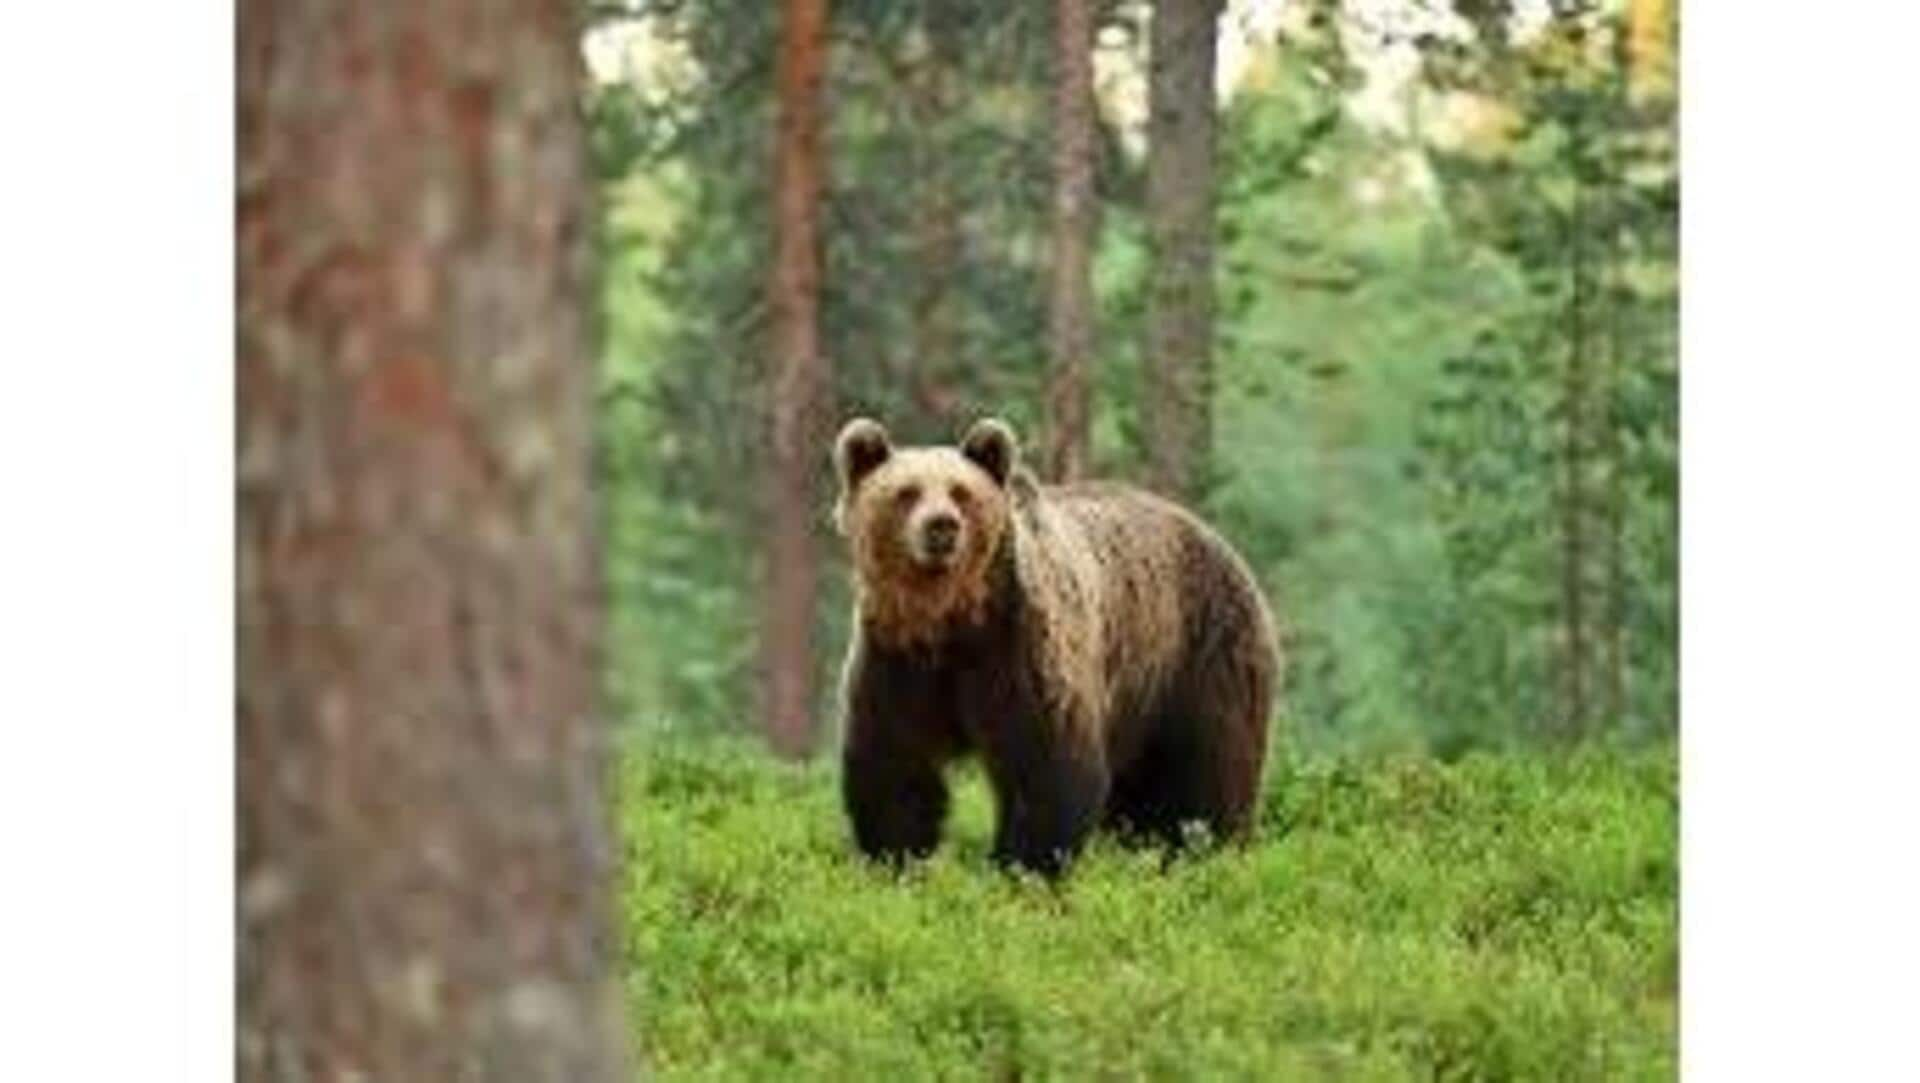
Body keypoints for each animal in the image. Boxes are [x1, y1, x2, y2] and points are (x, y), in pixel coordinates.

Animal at [833, 416, 1282, 879]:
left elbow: (1045, 770)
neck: (950, 621)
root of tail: (1214, 536)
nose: (942, 525)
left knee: (1209, 772)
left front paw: (1022, 868)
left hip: (1199, 653)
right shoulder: (895, 661)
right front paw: (896, 861)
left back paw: (1206, 851)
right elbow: (895, 766)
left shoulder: (1019, 654)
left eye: (961, 492)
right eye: (906, 492)